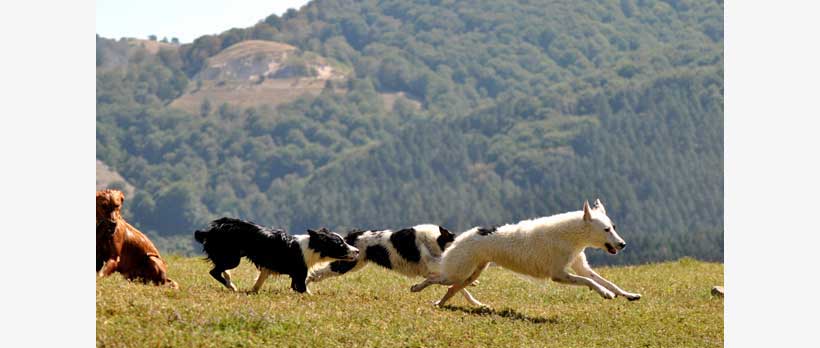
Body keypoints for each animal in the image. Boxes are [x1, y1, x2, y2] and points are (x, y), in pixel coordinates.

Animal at [195, 218, 358, 294]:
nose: (356, 250)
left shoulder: (271, 268)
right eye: (340, 244)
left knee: (220, 268)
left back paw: (229, 279)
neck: (311, 246)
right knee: (214, 271)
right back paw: (231, 286)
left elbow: (259, 282)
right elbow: (304, 290)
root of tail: (210, 230)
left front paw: (253, 292)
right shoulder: (299, 275)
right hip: (233, 259)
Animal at [414, 198, 644, 308]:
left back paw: (440, 304)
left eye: (613, 227)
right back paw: (417, 287)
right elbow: (591, 283)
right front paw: (605, 294)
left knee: (450, 289)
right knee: (435, 278)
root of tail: (458, 238)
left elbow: (607, 282)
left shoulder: (581, 268)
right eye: (606, 230)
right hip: (459, 272)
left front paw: (628, 294)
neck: (573, 234)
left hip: (470, 275)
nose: (623, 244)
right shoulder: (559, 275)